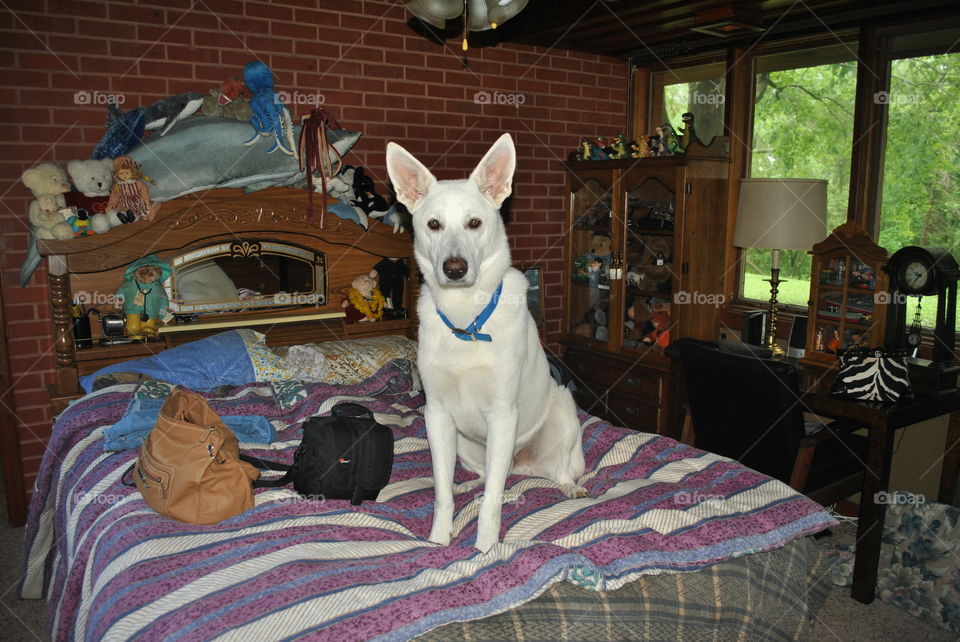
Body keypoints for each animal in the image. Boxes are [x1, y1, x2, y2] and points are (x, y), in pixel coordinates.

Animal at [388, 131, 584, 552]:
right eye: (433, 224)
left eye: (474, 223)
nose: (454, 268)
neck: (467, 320)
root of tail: (524, 464)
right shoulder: (437, 415)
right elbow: (442, 492)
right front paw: (439, 541)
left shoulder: (502, 414)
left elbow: (492, 503)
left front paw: (484, 549)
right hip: (465, 444)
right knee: (484, 477)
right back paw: (471, 486)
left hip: (563, 414)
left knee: (557, 470)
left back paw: (570, 487)